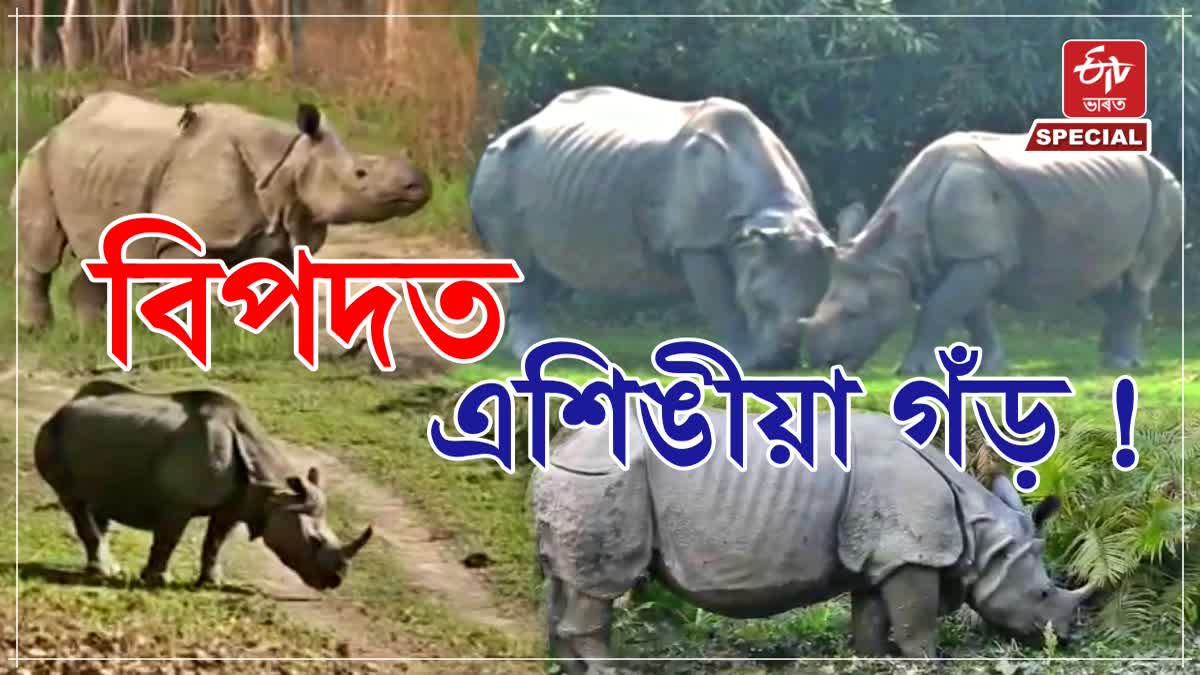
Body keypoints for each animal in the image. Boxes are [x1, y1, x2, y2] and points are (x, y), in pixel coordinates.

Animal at [12, 90, 432, 330]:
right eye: (361, 174)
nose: (420, 184)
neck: (290, 163)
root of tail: (63, 122)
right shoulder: (184, 235)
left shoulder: (284, 230)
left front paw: (279, 339)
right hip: (39, 157)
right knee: (43, 250)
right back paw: (37, 332)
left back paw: (91, 335)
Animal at [34, 379, 374, 590]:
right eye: (314, 541)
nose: (337, 580)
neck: (275, 493)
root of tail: (64, 405)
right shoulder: (177, 503)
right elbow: (168, 539)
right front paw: (159, 581)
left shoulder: (236, 503)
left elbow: (215, 541)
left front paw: (211, 583)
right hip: (53, 435)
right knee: (75, 501)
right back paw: (103, 572)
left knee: (96, 504)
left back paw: (107, 569)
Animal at [469, 86, 837, 370]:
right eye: (758, 301)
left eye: (815, 305)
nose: (779, 365)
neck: (766, 214)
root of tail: (503, 134)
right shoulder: (696, 242)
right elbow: (723, 304)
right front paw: (744, 362)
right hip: (500, 163)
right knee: (522, 264)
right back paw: (530, 352)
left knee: (545, 266)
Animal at [532, 405, 1096, 672]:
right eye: (1043, 593)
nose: (1069, 639)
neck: (981, 531)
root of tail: (560, 447)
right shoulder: (911, 553)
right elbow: (915, 621)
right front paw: (929, 665)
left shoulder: (882, 552)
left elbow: (870, 616)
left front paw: (874, 664)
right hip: (606, 478)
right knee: (598, 587)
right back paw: (614, 674)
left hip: (579, 480)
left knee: (564, 584)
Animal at [804, 131, 1182, 375]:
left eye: (855, 313)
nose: (820, 362)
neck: (897, 248)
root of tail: (1156, 160)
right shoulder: (966, 256)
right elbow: (973, 314)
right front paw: (991, 368)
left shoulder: (978, 257)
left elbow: (938, 308)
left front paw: (912, 371)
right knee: (1102, 278)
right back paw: (1108, 358)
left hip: (1165, 186)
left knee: (1139, 274)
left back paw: (1123, 365)